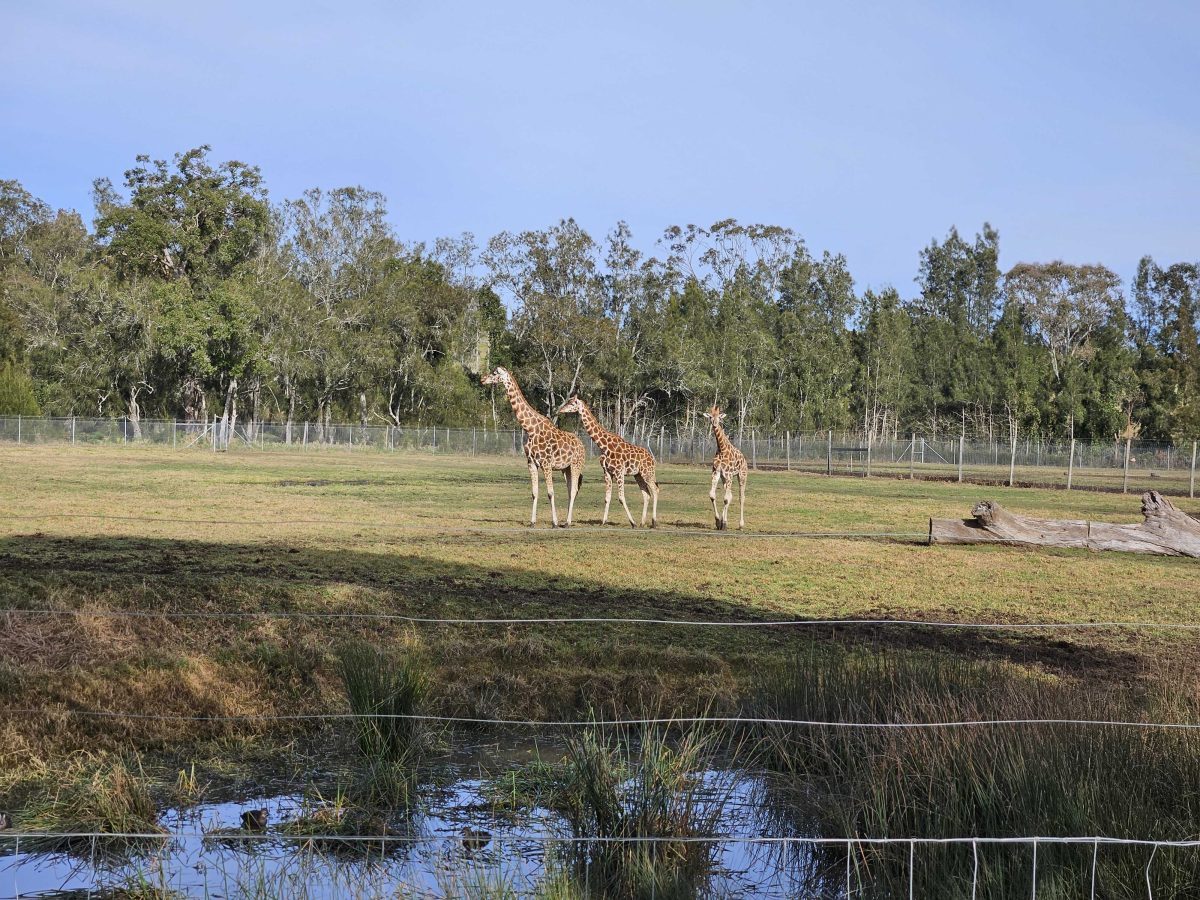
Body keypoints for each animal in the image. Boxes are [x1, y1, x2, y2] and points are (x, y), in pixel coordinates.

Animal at [482, 369, 585, 532]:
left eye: (494, 372)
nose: (482, 378)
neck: (530, 429)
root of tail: (582, 445)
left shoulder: (546, 463)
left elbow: (550, 493)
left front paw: (554, 523)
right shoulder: (531, 463)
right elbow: (534, 493)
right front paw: (532, 522)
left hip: (576, 465)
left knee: (574, 489)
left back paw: (567, 522)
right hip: (566, 468)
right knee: (570, 490)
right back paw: (566, 521)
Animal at [556, 400, 662, 532]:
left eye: (571, 403)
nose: (560, 410)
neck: (604, 446)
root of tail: (652, 459)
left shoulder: (619, 471)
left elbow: (621, 497)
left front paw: (632, 523)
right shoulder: (607, 472)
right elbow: (607, 497)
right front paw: (603, 522)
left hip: (647, 473)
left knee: (655, 489)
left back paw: (653, 522)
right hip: (638, 475)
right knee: (646, 494)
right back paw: (642, 523)